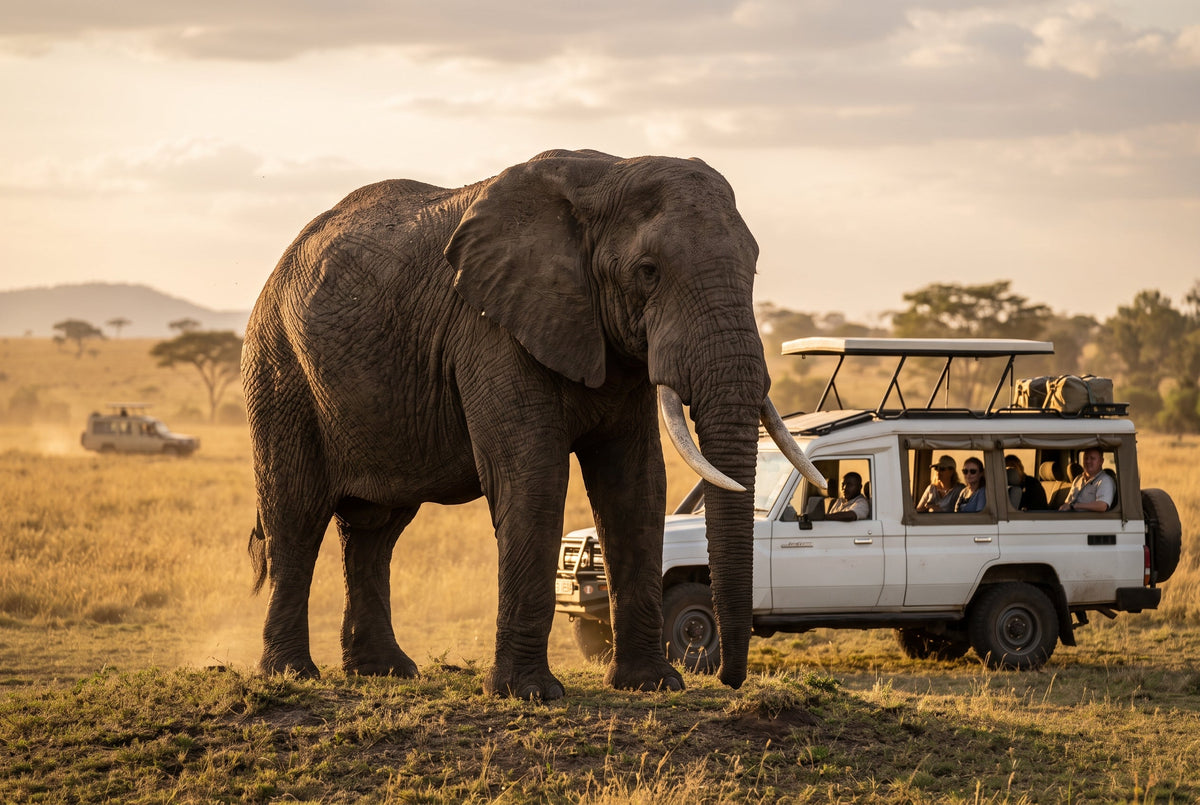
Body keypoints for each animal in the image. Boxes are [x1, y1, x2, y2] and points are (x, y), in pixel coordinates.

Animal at [242, 148, 825, 699]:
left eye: (753, 270)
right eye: (648, 271)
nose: (727, 676)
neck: (605, 176)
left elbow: (635, 486)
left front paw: (653, 684)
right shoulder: (490, 329)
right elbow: (532, 476)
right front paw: (530, 694)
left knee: (375, 530)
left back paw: (384, 671)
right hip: (279, 368)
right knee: (296, 515)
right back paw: (292, 674)